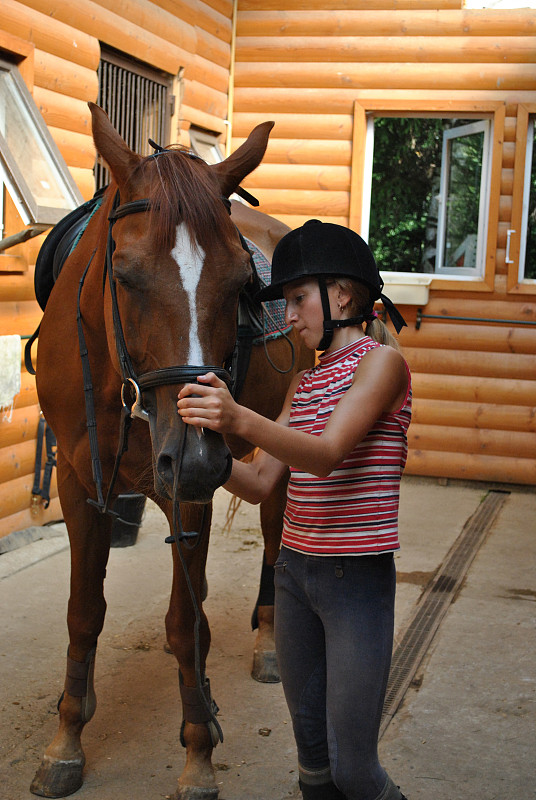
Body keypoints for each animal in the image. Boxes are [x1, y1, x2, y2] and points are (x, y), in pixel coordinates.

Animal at [32, 103, 310, 796]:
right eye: (125, 276)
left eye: (240, 283)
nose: (198, 459)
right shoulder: (80, 482)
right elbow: (84, 613)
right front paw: (66, 738)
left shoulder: (190, 489)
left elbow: (185, 627)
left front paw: (198, 754)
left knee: (273, 540)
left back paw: (268, 643)